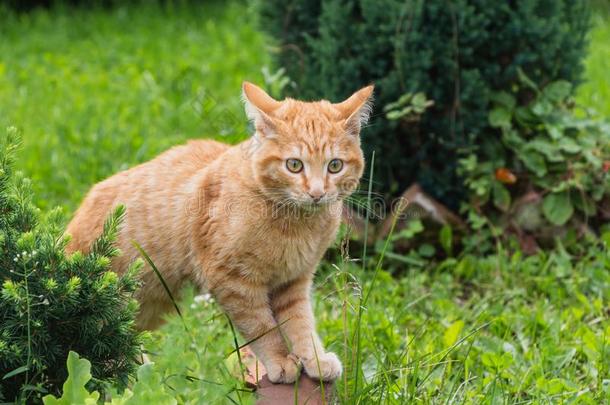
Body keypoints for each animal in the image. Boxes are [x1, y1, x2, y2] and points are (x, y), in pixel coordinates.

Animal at [65, 83, 370, 382]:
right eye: (294, 165)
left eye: (335, 165)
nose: (317, 193)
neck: (298, 224)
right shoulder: (233, 282)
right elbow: (263, 328)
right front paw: (281, 361)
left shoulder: (293, 281)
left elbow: (300, 324)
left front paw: (315, 359)